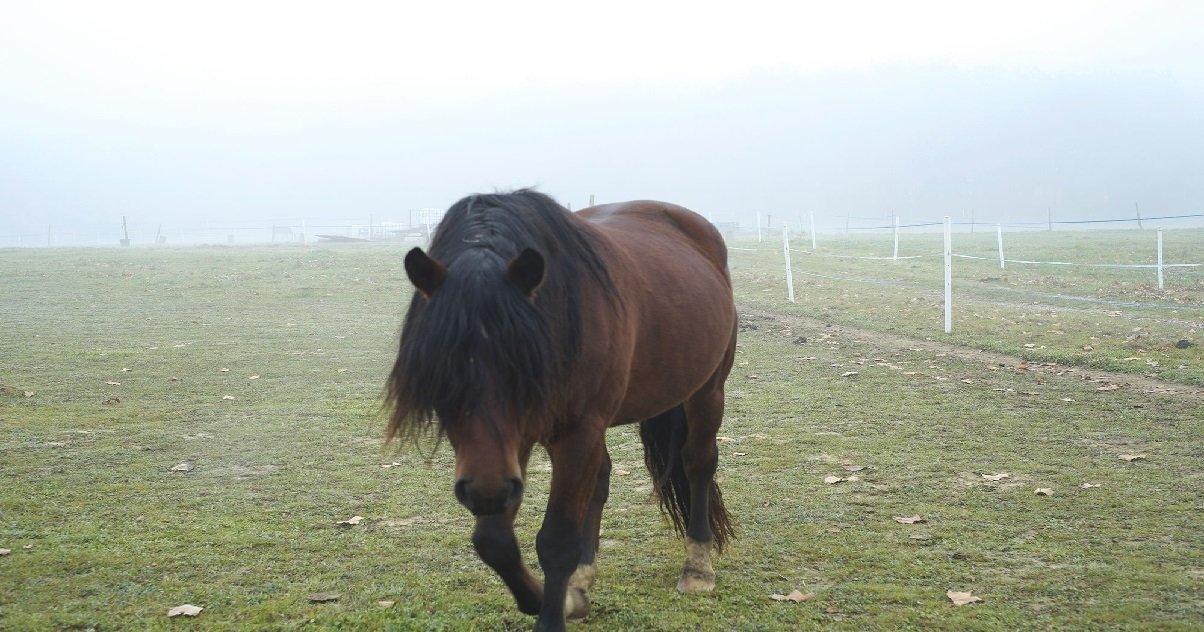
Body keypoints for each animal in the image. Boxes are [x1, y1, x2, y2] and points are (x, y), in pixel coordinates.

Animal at [390, 188, 736, 630]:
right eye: (441, 371)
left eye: (523, 365)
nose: (485, 492)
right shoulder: (510, 448)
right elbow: (493, 540)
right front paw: (558, 598)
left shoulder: (574, 433)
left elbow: (556, 541)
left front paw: (553, 612)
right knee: (601, 479)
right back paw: (584, 577)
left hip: (707, 390)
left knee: (698, 463)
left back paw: (697, 566)